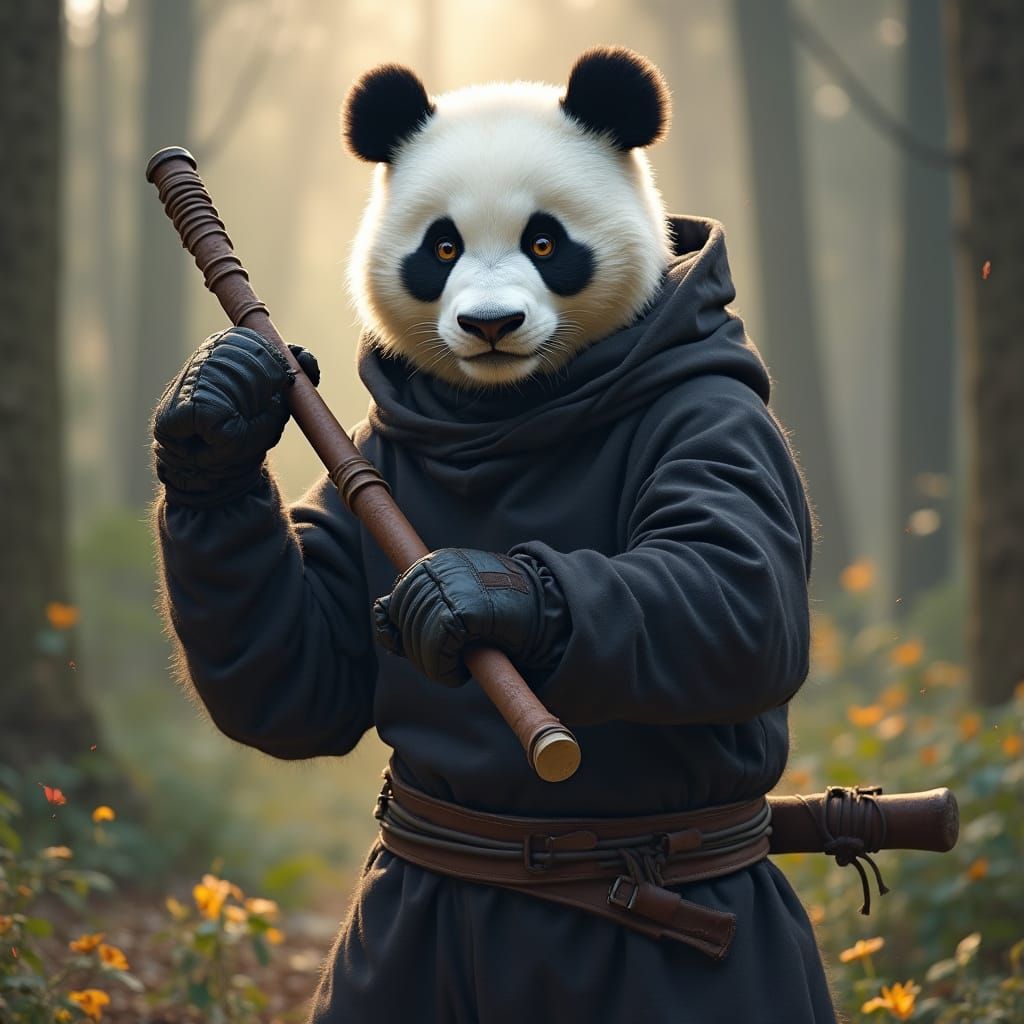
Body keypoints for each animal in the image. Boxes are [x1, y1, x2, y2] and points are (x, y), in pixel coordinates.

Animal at [153, 47, 834, 1024]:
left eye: (546, 243)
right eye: (441, 248)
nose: (489, 326)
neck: (514, 406)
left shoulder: (719, 415)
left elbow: (738, 589)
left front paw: (479, 596)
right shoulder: (366, 451)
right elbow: (301, 681)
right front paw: (222, 405)